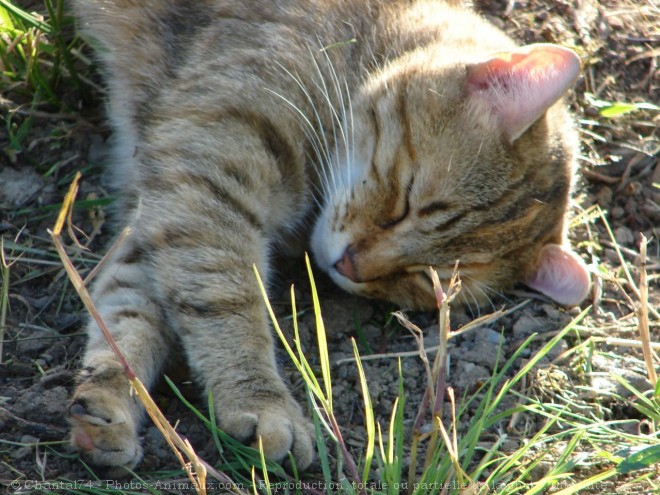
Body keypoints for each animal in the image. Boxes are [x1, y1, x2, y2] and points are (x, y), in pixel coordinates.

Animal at [69, 0, 592, 472]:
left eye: (426, 280)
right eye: (407, 203)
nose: (348, 266)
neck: (362, 45)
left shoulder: (166, 203)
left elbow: (125, 309)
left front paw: (109, 399)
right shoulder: (204, 170)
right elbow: (225, 301)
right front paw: (261, 402)